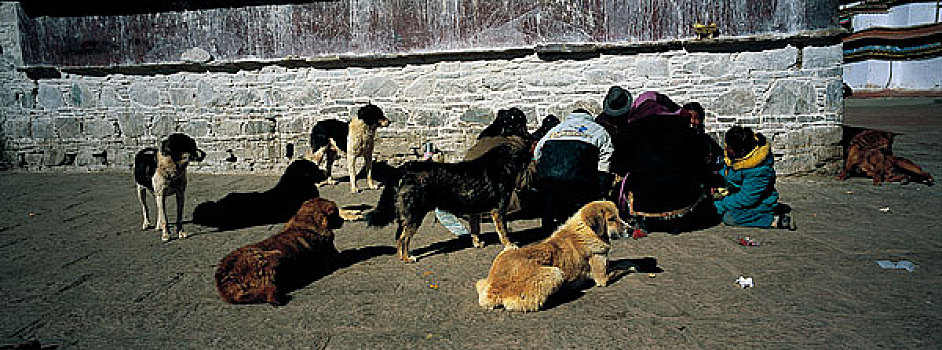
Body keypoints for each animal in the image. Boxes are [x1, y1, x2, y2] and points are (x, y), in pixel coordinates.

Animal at [216, 200, 344, 306]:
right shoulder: (333, 256)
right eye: (336, 214)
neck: (305, 222)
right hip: (274, 257)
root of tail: (225, 277)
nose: (343, 220)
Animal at [480, 201, 628, 314]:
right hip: (556, 273)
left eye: (619, 216)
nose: (631, 228)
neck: (586, 230)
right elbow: (622, 267)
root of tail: (494, 288)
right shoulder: (602, 278)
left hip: (510, 248)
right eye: (611, 219)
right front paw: (629, 265)